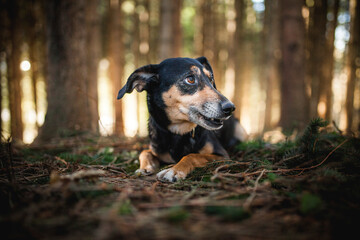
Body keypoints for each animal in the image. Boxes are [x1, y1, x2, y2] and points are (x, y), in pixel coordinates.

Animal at [118, 57, 248, 183]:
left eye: (211, 79)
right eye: (190, 79)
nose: (230, 108)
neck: (178, 132)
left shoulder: (222, 155)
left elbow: (192, 155)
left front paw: (173, 171)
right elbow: (144, 152)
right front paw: (145, 168)